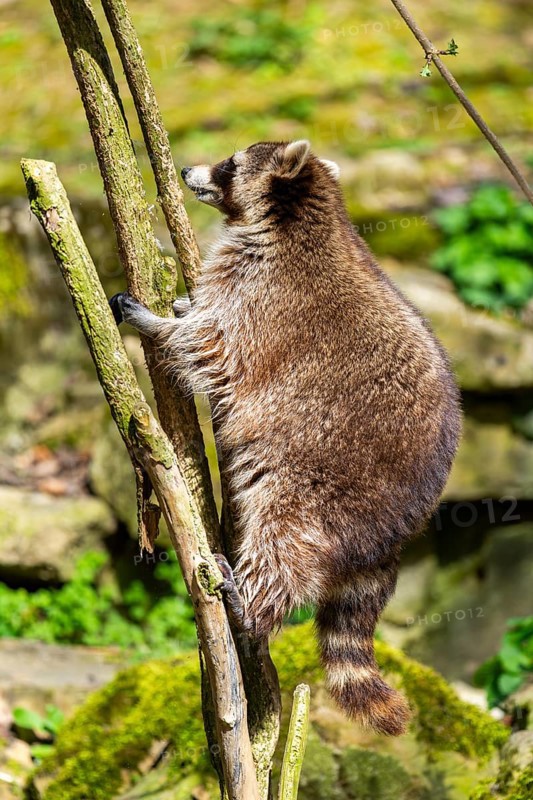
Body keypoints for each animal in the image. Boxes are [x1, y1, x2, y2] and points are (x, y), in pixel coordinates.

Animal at [111, 140, 461, 735]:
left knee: (284, 538)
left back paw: (251, 606)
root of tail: (401, 529)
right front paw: (175, 309)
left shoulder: (260, 296)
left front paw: (158, 324)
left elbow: (211, 346)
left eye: (230, 164)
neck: (301, 219)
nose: (186, 169)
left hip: (325, 486)